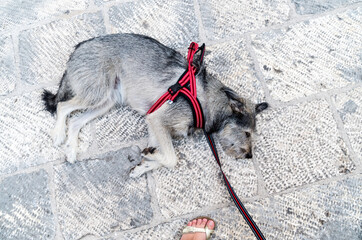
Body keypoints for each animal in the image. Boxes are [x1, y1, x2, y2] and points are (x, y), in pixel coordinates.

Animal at [42, 32, 268, 177]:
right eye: (247, 134)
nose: (249, 155)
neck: (206, 100)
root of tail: (79, 47)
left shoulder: (154, 128)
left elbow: (160, 156)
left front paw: (144, 164)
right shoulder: (157, 119)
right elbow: (171, 158)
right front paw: (150, 158)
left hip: (105, 102)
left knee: (76, 121)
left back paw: (71, 151)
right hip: (97, 93)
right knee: (63, 106)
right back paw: (59, 134)